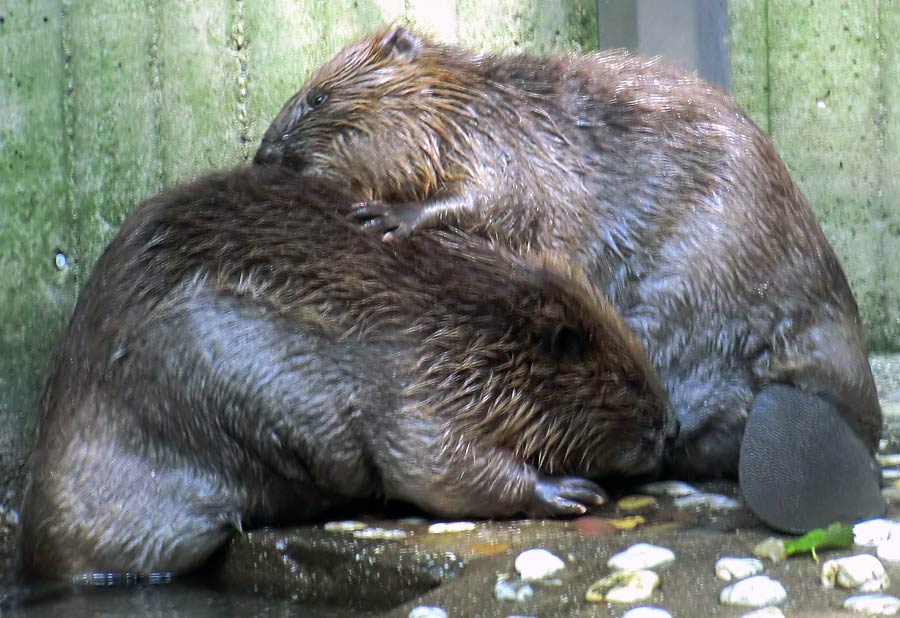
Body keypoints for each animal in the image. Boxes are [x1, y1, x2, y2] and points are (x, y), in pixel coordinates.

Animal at [19, 165, 676, 576]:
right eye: (627, 383)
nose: (665, 432)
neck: (464, 317)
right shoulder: (420, 381)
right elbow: (432, 464)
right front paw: (568, 491)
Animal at [255, 26, 884, 528]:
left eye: (317, 97)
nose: (262, 156)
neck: (479, 99)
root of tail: (827, 407)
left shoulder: (500, 140)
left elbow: (496, 197)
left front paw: (388, 216)